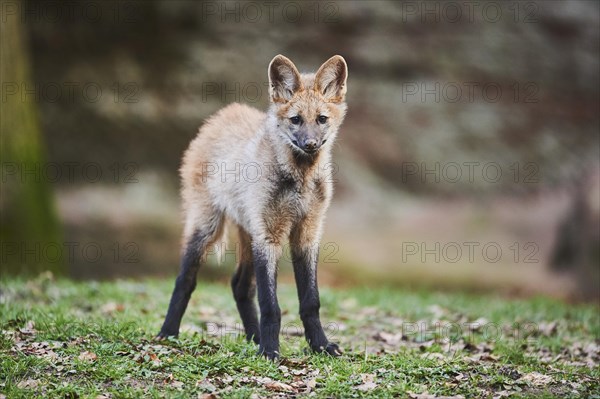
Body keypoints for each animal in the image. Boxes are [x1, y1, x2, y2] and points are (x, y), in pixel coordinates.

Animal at [157, 54, 350, 360]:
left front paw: (320, 345)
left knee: (239, 286)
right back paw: (168, 333)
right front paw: (270, 351)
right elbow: (271, 306)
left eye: (321, 119)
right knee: (185, 280)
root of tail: (221, 114)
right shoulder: (269, 237)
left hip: (248, 232)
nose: (310, 144)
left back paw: (254, 337)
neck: (299, 179)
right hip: (207, 227)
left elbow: (311, 302)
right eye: (296, 120)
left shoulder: (307, 234)